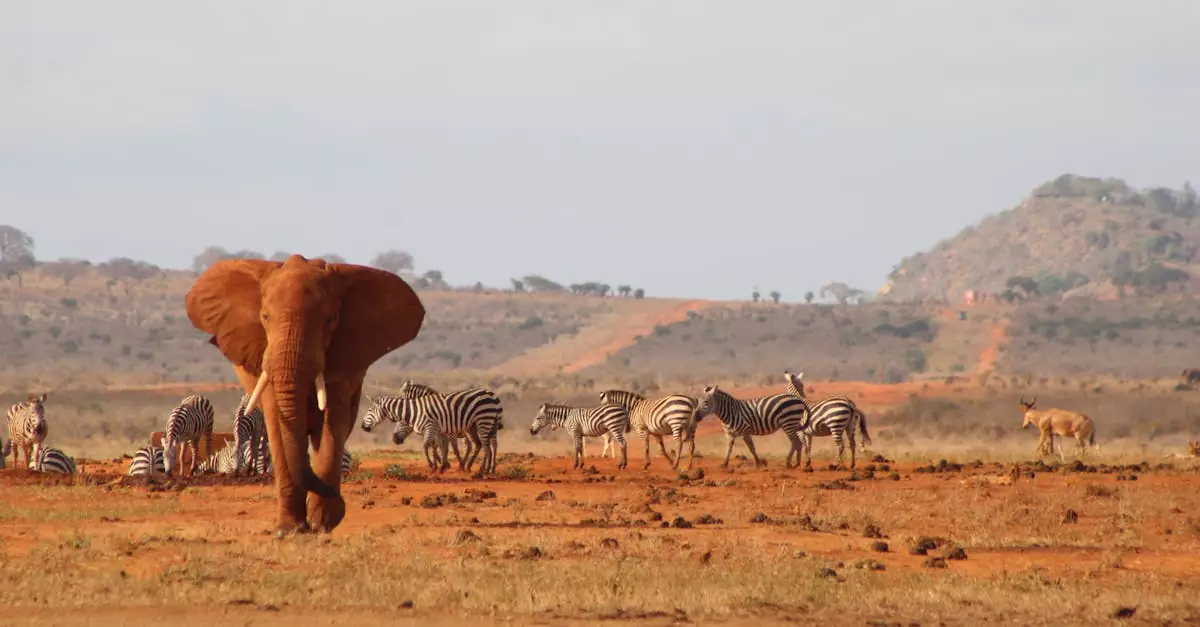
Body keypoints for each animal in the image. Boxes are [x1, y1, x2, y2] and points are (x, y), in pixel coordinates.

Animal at [185, 255, 424, 534]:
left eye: (330, 320)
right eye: (265, 317)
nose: (339, 500)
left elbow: (333, 422)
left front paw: (322, 523)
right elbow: (277, 426)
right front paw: (289, 530)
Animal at [363, 388, 503, 474]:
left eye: (369, 410)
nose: (362, 426)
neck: (416, 410)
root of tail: (492, 395)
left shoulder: (432, 428)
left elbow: (427, 447)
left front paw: (433, 465)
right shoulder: (438, 431)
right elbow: (437, 447)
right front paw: (441, 466)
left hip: (484, 421)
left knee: (487, 447)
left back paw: (481, 472)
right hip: (476, 426)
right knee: (481, 445)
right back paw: (476, 467)